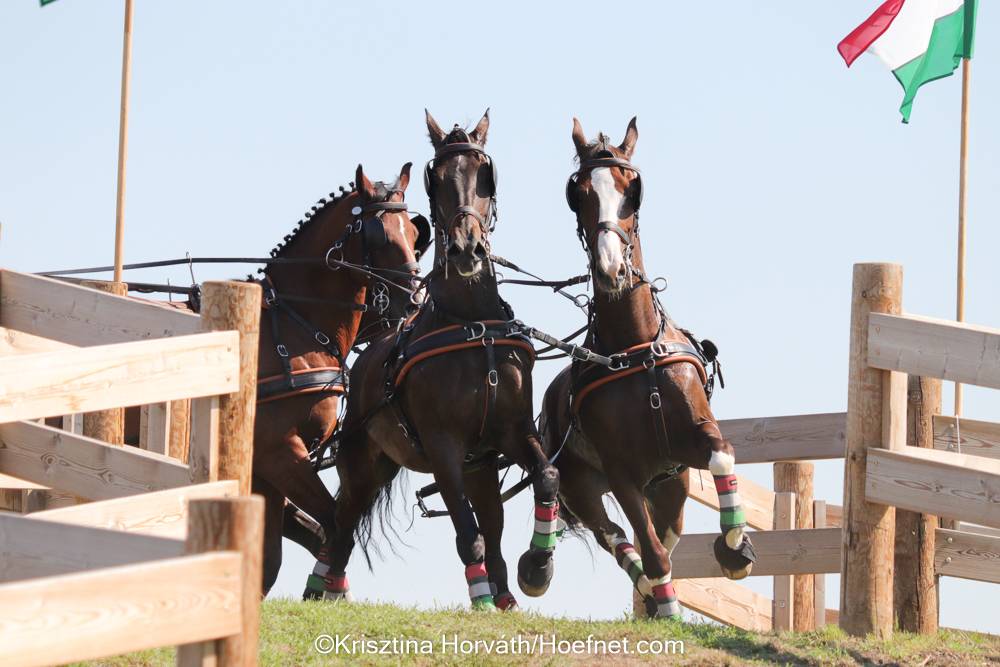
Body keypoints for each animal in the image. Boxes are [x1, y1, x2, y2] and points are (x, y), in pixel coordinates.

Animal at [249, 162, 432, 596]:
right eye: (379, 235)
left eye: (413, 233)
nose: (414, 302)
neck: (294, 323)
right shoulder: (279, 453)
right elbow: (334, 527)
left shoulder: (265, 471)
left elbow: (279, 553)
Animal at [313, 110, 559, 610]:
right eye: (438, 179)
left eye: (485, 174)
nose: (467, 249)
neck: (471, 324)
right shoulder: (443, 446)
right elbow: (468, 534)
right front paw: (481, 597)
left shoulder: (511, 432)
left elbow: (546, 477)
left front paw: (537, 566)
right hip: (365, 462)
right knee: (343, 523)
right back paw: (326, 588)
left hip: (478, 466)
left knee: (493, 522)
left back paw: (506, 594)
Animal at [539, 117, 756, 620]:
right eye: (578, 193)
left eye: (631, 189)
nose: (609, 268)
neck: (635, 348)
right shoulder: (622, 472)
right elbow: (651, 551)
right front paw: (668, 606)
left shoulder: (689, 442)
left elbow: (722, 453)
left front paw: (735, 548)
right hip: (582, 486)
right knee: (618, 538)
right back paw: (652, 594)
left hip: (671, 485)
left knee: (665, 531)